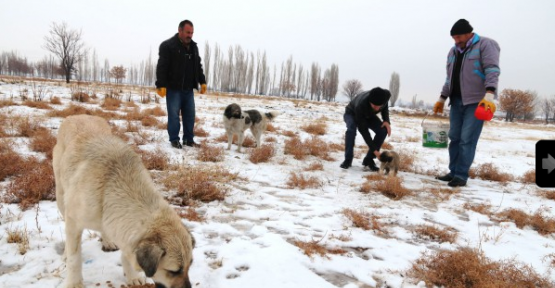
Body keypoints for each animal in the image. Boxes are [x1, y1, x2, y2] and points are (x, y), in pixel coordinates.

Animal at [52, 115, 195, 288]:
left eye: (189, 265)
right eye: (174, 271)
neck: (110, 188)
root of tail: (77, 115)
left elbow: (126, 254)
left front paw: (132, 276)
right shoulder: (74, 222)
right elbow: (75, 259)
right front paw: (74, 283)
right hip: (61, 198)